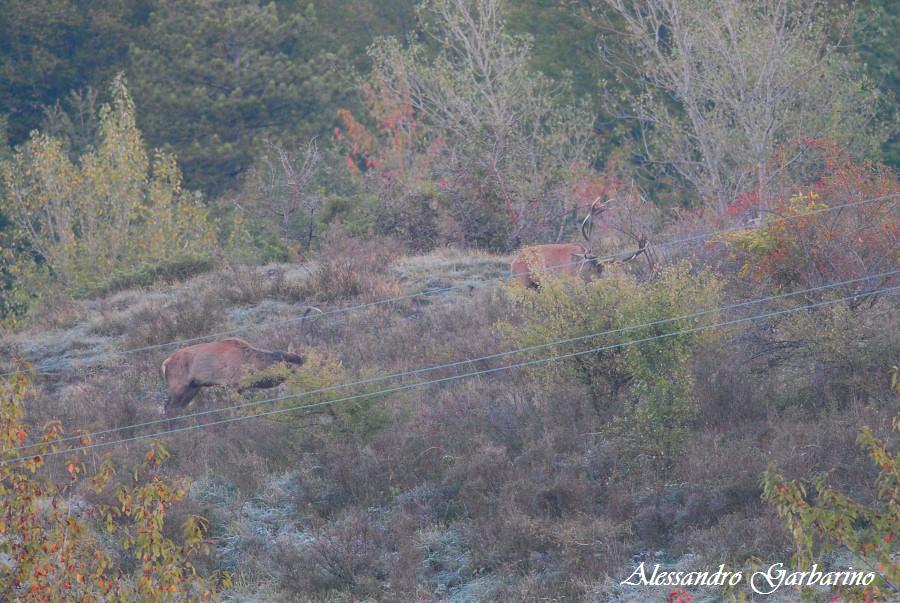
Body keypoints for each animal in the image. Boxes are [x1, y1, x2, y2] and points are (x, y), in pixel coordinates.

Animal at [161, 306, 320, 416]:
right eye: (296, 367)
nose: (312, 379)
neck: (251, 365)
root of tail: (165, 364)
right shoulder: (231, 385)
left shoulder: (242, 388)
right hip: (178, 386)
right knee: (167, 408)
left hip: (193, 388)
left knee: (175, 409)